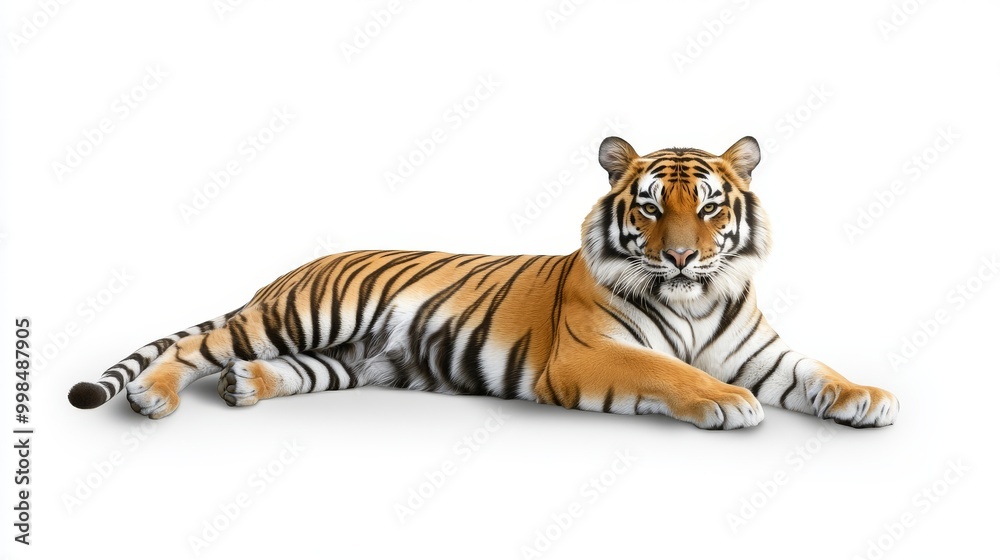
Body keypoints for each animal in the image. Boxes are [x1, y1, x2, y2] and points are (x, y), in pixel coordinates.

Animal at [68, 136, 899, 430]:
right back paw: (153, 398)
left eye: (712, 206)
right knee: (198, 344)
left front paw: (868, 398)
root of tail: (287, 272)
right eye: (652, 207)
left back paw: (245, 386)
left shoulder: (762, 351)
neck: (694, 301)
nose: (686, 259)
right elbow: (669, 372)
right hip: (302, 317)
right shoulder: (587, 354)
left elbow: (818, 371)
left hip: (341, 358)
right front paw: (728, 403)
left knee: (268, 367)